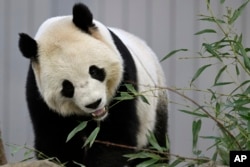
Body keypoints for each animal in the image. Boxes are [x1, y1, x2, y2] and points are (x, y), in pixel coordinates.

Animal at [18, 2, 168, 167]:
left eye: (94, 71)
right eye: (67, 87)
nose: (93, 103)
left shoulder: (125, 84)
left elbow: (115, 136)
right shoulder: (39, 96)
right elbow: (55, 141)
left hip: (154, 109)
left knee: (153, 150)